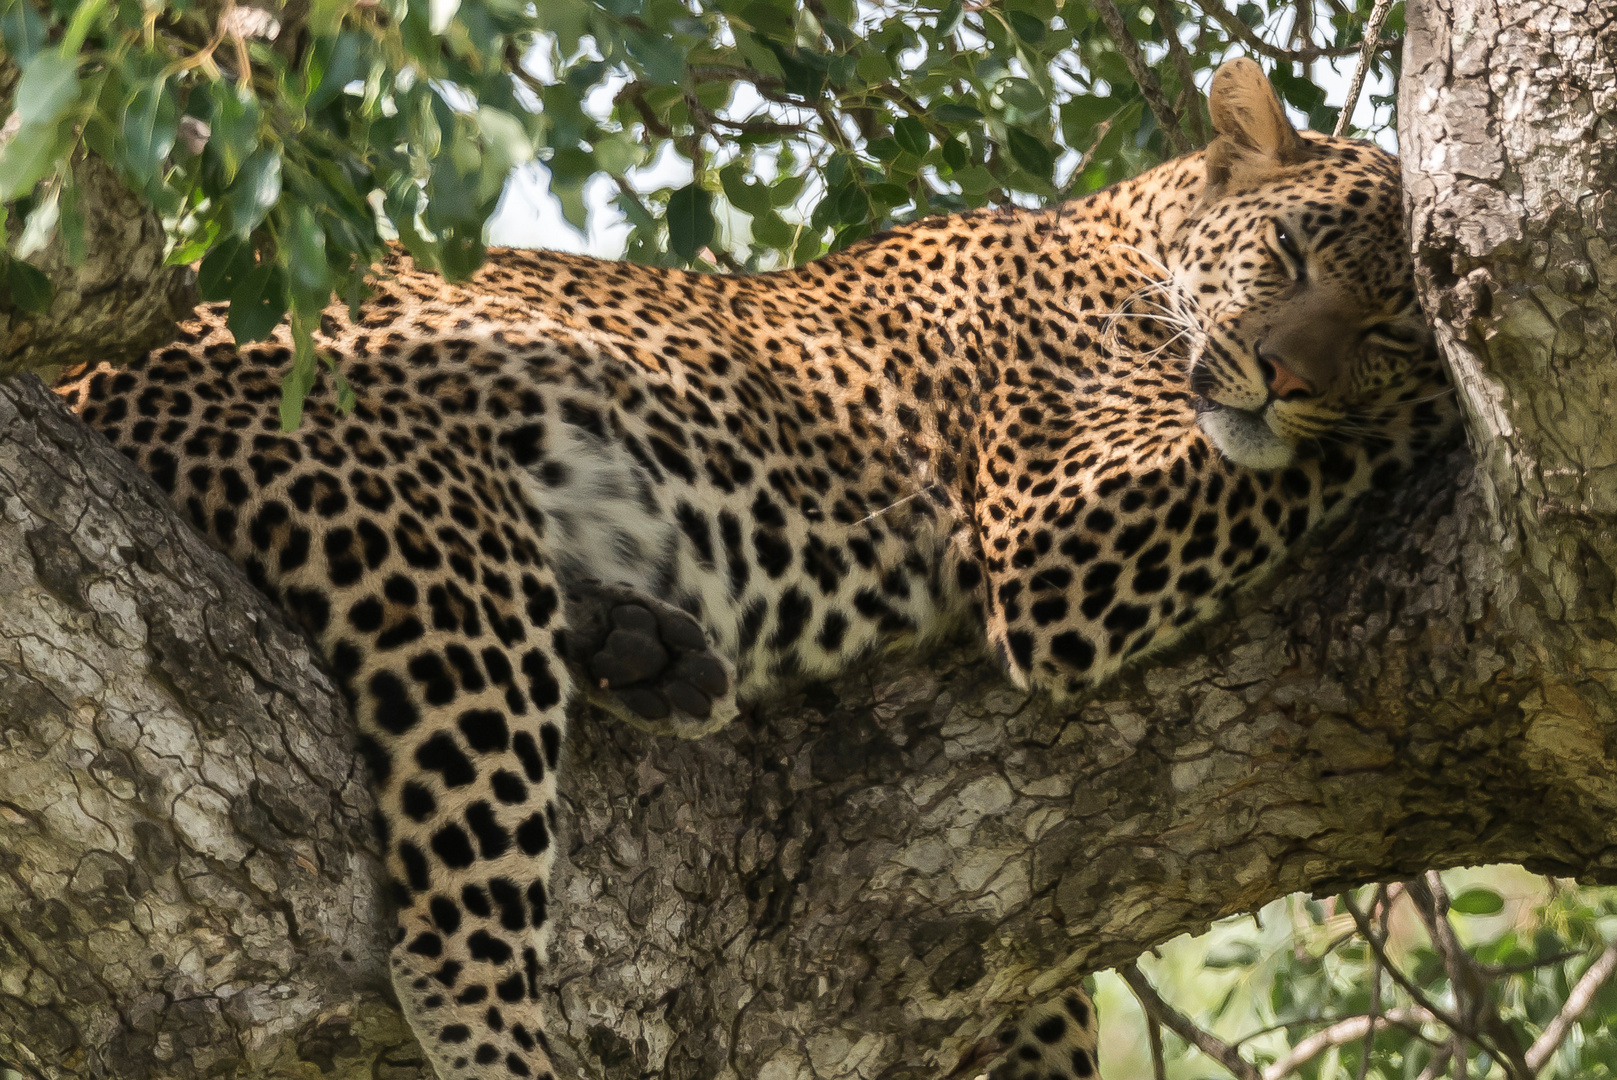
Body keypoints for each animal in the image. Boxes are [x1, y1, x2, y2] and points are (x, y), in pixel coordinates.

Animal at [59, 56, 1455, 1080]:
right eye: (1288, 260)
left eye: (1385, 323)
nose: (1284, 377)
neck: (1130, 235)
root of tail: (86, 369)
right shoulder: (1048, 538)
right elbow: (1332, 452)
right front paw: (1435, 403)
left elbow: (1049, 1016)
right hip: (419, 524)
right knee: (453, 941)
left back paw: (647, 653)